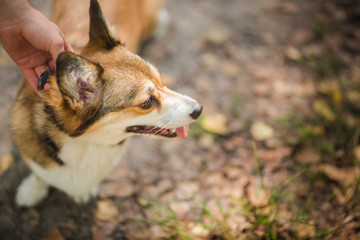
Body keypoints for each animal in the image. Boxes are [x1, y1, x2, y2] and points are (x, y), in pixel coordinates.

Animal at [10, 0, 202, 206]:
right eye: (147, 102)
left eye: (161, 80)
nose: (199, 109)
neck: (85, 142)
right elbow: (40, 175)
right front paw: (32, 190)